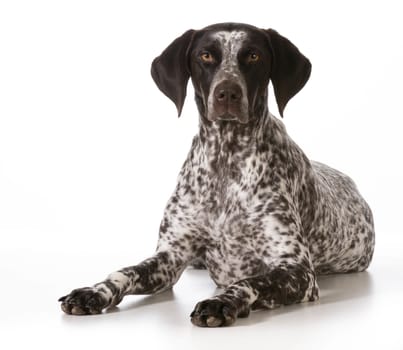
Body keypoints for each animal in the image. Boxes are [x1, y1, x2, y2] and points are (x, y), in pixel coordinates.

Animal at [59, 23, 376, 326]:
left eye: (253, 55)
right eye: (206, 56)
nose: (227, 92)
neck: (226, 157)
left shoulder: (297, 270)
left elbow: (250, 282)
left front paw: (222, 302)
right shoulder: (169, 258)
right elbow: (124, 272)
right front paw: (93, 292)